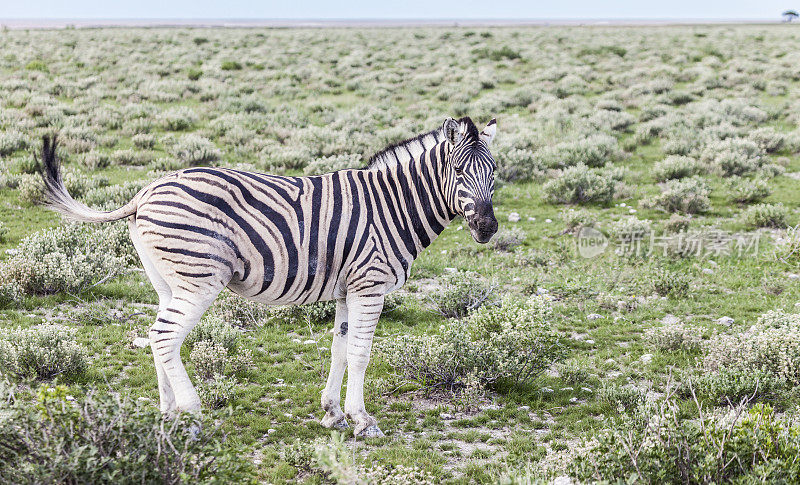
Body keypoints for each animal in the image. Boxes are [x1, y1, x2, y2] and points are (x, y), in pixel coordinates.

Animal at [40, 115, 500, 436]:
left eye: (494, 174)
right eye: (459, 174)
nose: (488, 228)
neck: (393, 205)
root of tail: (145, 191)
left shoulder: (346, 290)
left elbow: (339, 349)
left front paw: (333, 414)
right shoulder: (369, 284)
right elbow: (360, 353)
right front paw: (363, 420)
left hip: (167, 282)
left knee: (155, 337)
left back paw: (168, 414)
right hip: (198, 278)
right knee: (166, 336)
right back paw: (192, 415)